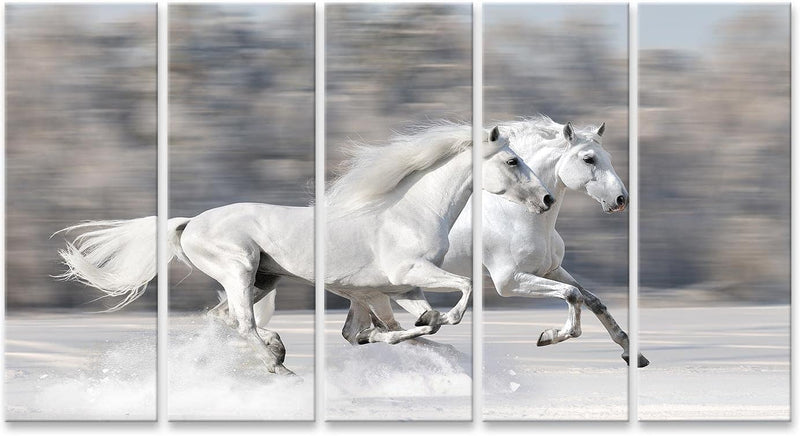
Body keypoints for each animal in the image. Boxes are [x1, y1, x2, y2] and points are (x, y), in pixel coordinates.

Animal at [59, 122, 552, 374]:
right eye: (512, 161)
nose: (546, 199)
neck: (411, 210)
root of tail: (188, 224)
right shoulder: (406, 277)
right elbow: (460, 291)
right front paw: (441, 321)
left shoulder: (399, 289)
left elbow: (402, 325)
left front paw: (420, 330)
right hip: (240, 270)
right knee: (241, 323)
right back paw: (279, 363)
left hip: (263, 278)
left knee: (223, 320)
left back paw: (275, 351)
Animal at [352, 116, 648, 368]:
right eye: (589, 159)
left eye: (608, 157)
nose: (621, 199)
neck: (518, 214)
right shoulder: (510, 281)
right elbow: (572, 295)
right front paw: (549, 336)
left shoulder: (550, 270)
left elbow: (593, 301)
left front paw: (633, 354)